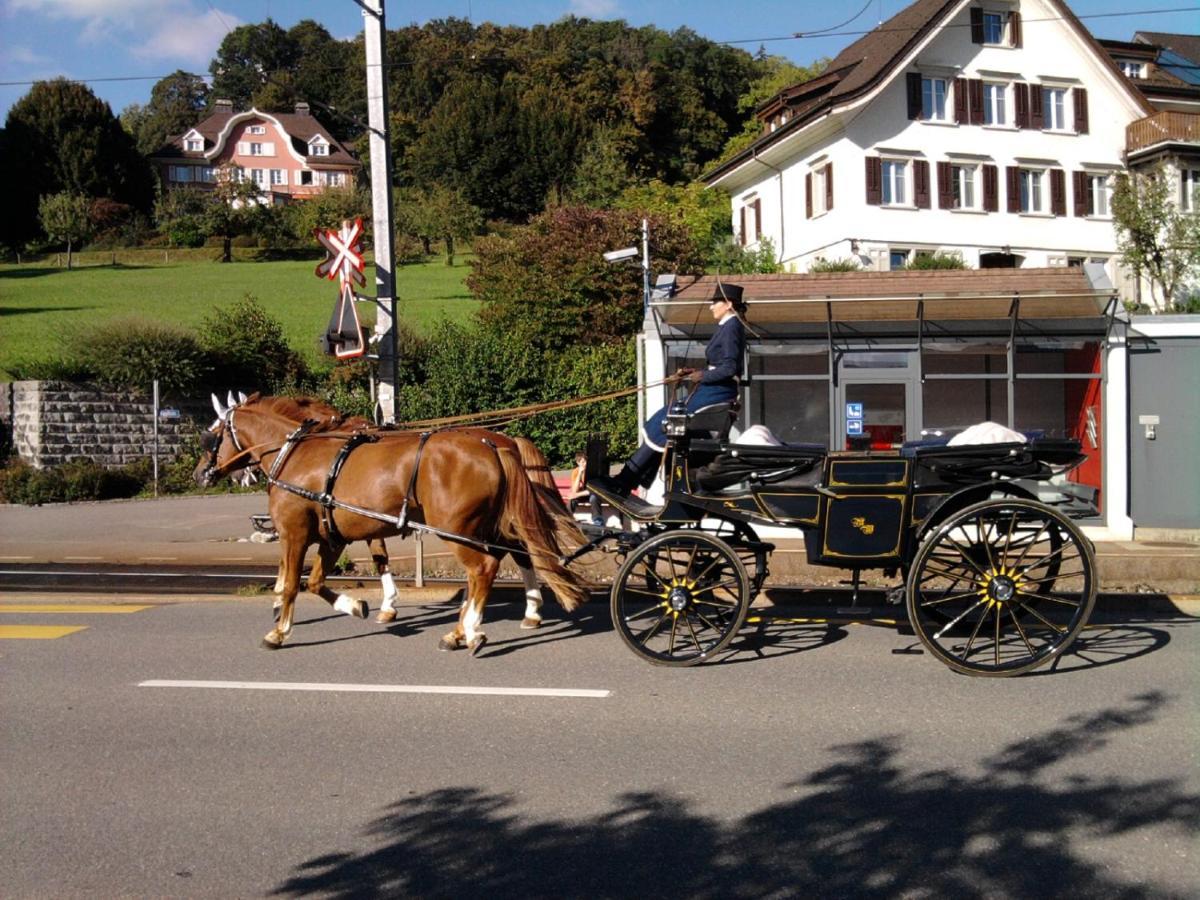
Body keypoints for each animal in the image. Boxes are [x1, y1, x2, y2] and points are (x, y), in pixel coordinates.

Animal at [194, 398, 588, 652]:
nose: (199, 473)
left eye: (212, 435)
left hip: (459, 530)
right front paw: (357, 606)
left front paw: (279, 629)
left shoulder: (295, 533)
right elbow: (318, 581)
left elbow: (294, 583)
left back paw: (472, 629)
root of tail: (496, 445)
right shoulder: (334, 536)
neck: (296, 453)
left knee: (485, 568)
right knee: (513, 557)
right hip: (488, 526)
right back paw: (487, 622)